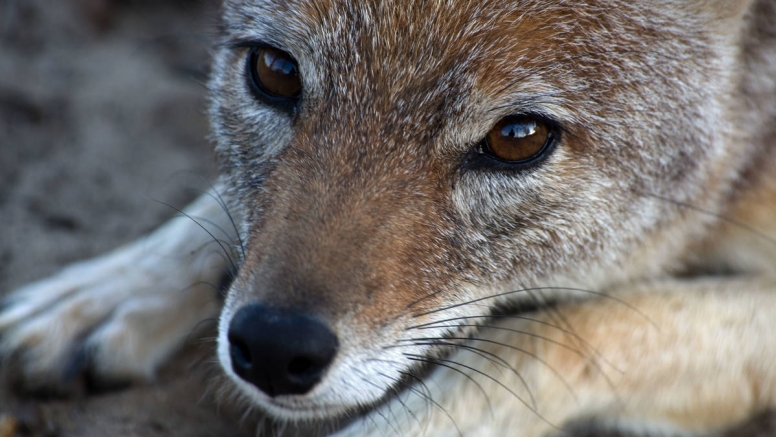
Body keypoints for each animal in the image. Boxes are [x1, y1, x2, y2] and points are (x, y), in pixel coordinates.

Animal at [1, 0, 776, 434]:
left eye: (518, 138)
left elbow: (554, 331)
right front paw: (104, 294)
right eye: (274, 72)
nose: (274, 347)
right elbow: (220, 204)